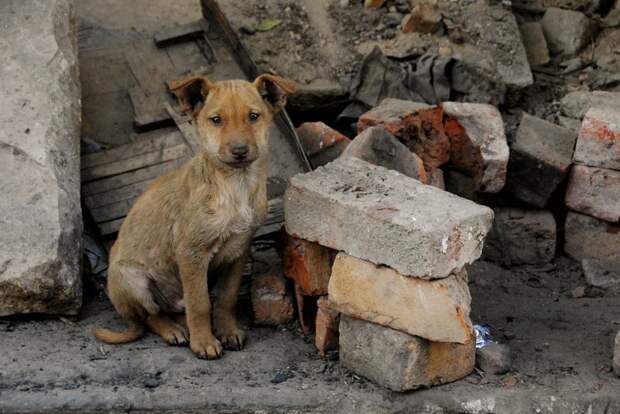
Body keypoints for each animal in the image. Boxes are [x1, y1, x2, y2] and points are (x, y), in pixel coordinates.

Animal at [95, 74, 298, 360]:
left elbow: (226, 298)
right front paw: (204, 342)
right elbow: (200, 303)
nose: (239, 150)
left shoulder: (239, 251)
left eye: (254, 116)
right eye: (216, 120)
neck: (234, 183)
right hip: (130, 280)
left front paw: (227, 331)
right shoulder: (191, 253)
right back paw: (173, 330)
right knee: (150, 316)